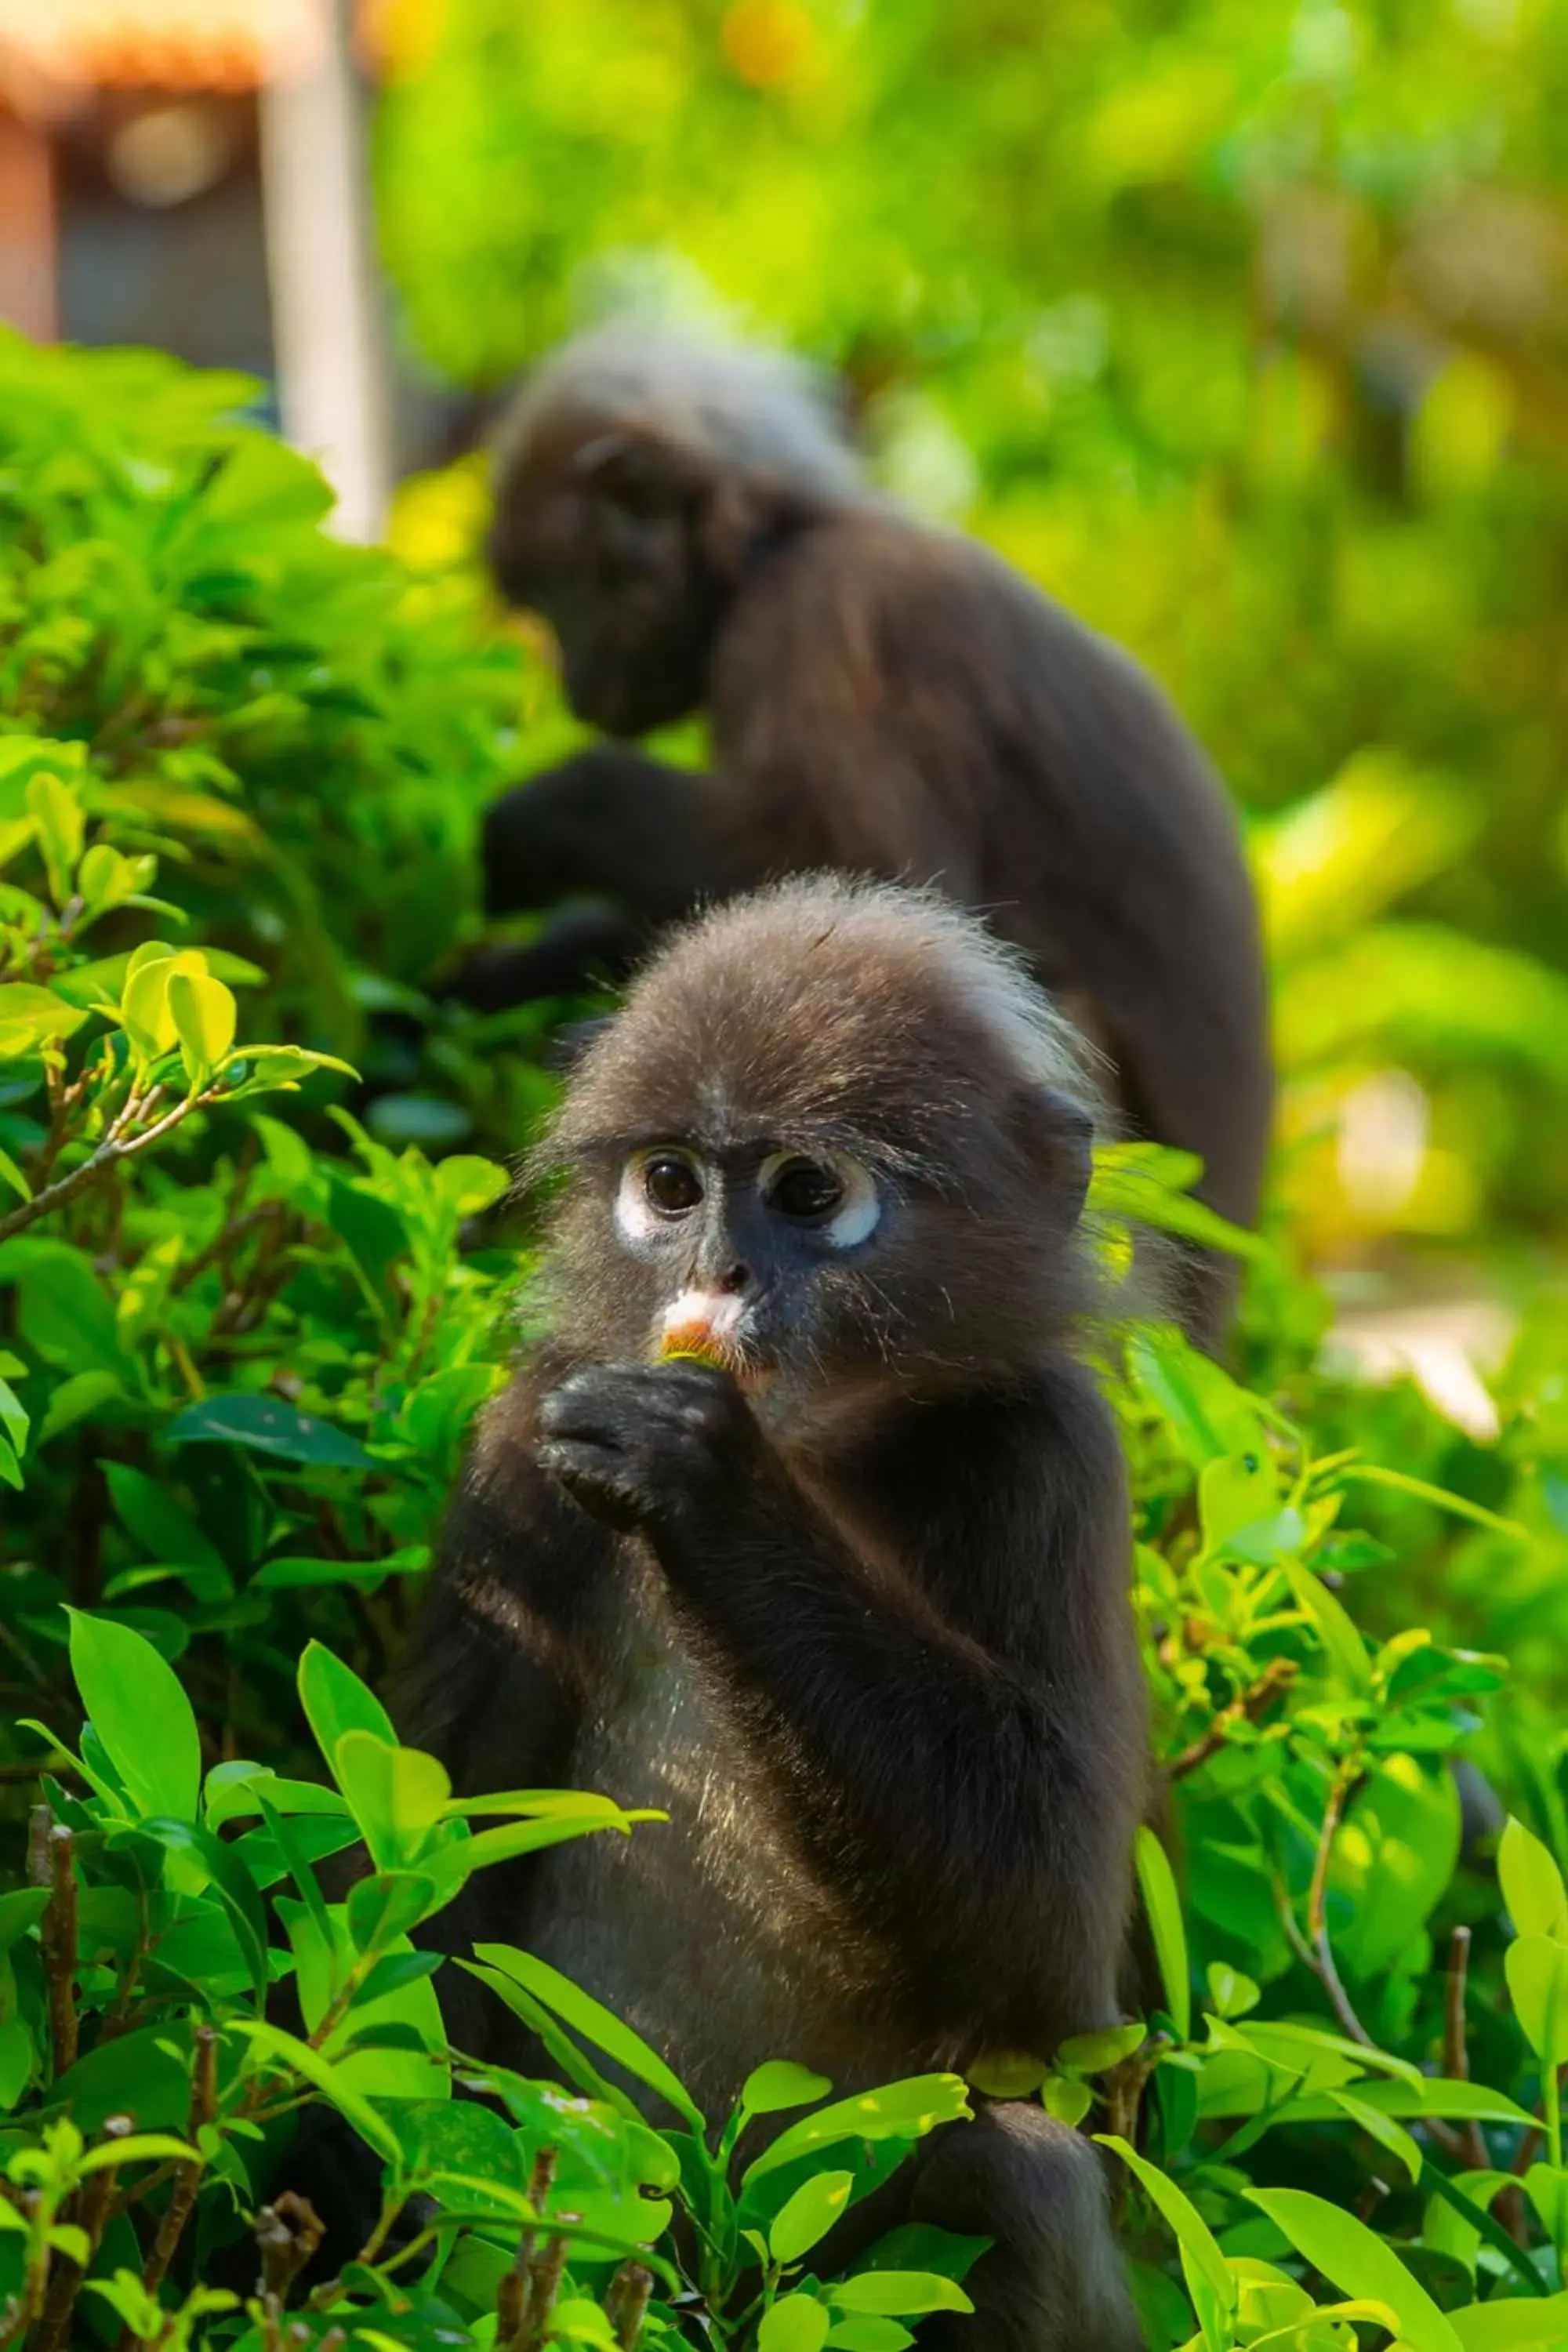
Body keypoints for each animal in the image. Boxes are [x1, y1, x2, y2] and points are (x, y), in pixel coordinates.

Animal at [404, 880, 1152, 2352]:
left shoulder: (1051, 1458)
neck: (822, 1445)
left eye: (811, 1193)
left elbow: (1050, 1964)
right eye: (670, 1185)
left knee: (1018, 2176)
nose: (720, 1272)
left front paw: (706, 1480)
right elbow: (414, 1892)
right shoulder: (524, 1438)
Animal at [465, 325, 1279, 1345]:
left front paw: (542, 820)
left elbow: (885, 893)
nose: (574, 685)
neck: (786, 542)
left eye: (561, 594)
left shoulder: (824, 620)